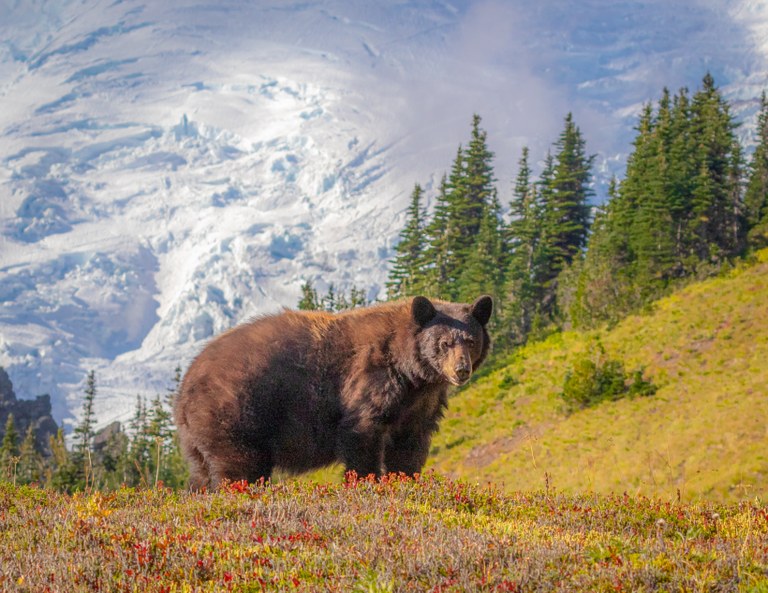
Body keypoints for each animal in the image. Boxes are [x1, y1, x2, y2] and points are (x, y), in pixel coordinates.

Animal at [173, 294, 493, 490]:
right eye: (444, 343)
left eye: (470, 340)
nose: (461, 370)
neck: (411, 374)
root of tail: (185, 386)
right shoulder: (370, 380)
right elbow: (362, 434)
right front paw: (365, 483)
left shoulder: (420, 405)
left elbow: (410, 446)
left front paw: (406, 480)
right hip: (235, 415)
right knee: (239, 468)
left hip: (198, 438)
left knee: (201, 474)